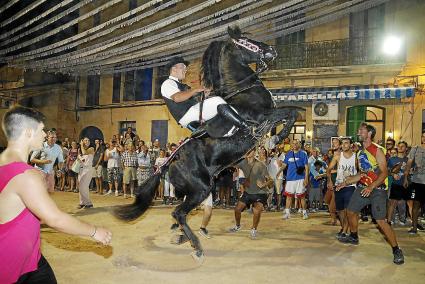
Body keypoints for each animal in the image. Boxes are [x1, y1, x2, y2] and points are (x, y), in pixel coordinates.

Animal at [114, 26, 296, 262]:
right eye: (246, 41)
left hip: (196, 191)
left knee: (181, 214)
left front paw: (275, 140)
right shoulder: (265, 116)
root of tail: (167, 164)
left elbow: (292, 112)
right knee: (179, 212)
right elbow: (291, 112)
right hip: (200, 189)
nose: (271, 51)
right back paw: (197, 247)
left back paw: (182, 237)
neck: (244, 90)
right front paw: (276, 138)